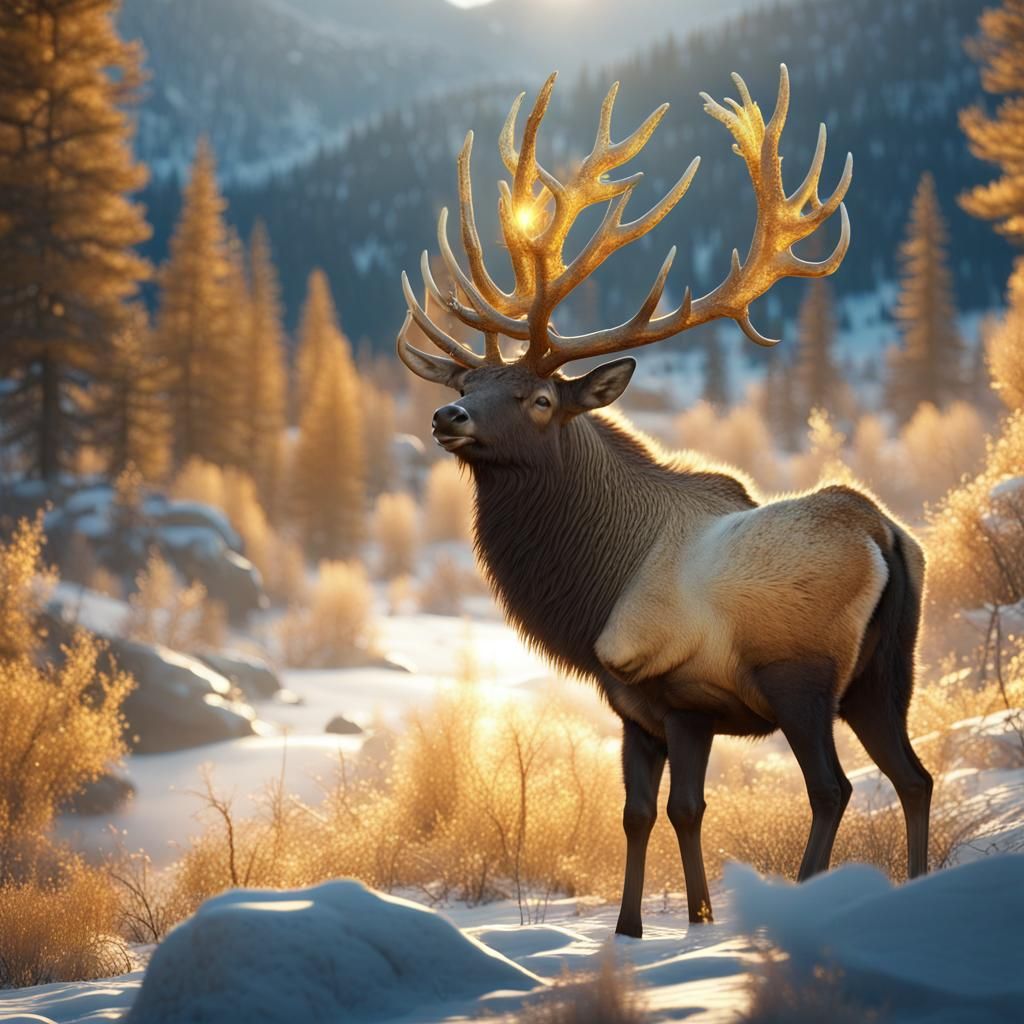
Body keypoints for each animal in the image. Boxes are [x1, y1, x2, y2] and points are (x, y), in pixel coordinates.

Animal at [395, 66, 933, 938]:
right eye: (472, 380)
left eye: (539, 398)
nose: (449, 416)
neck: (593, 592)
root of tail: (885, 535)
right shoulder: (632, 711)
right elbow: (639, 815)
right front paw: (635, 929)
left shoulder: (682, 696)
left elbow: (685, 810)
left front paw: (699, 924)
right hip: (886, 675)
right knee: (915, 777)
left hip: (805, 676)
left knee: (835, 788)